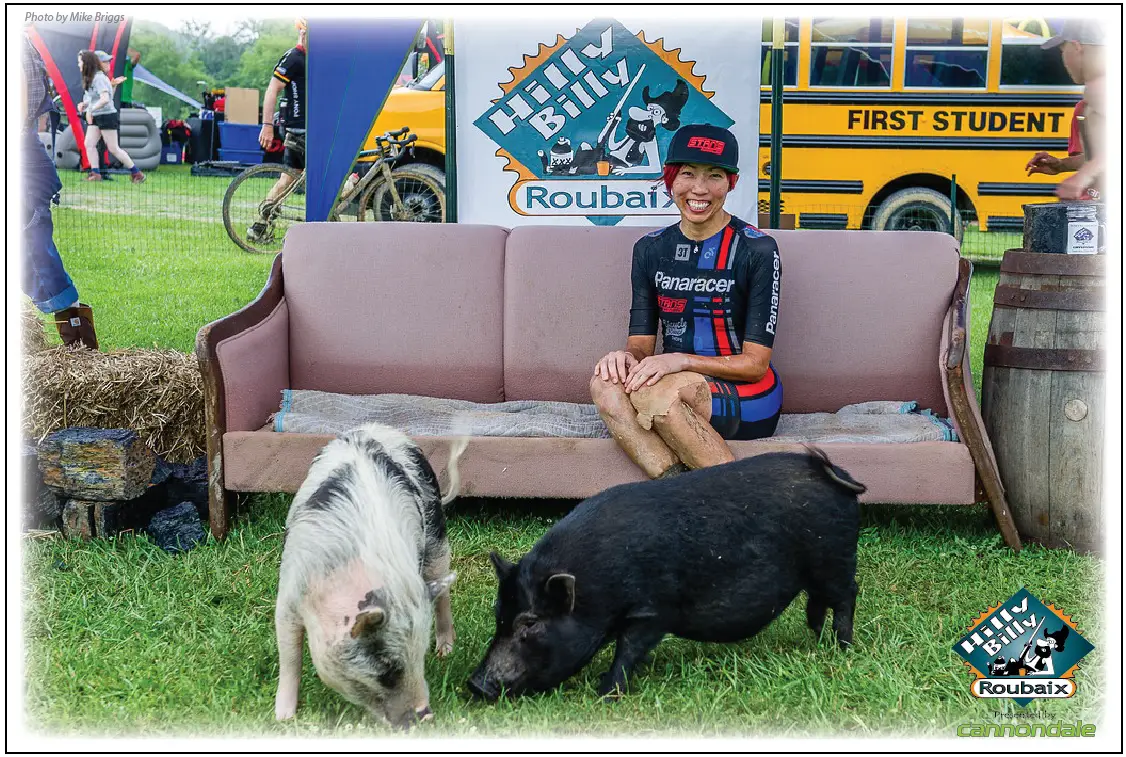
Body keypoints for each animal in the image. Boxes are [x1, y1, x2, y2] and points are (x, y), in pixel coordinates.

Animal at [273, 425, 466, 725]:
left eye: (419, 658)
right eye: (387, 672)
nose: (426, 715)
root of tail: (377, 427)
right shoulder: (289, 594)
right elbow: (289, 658)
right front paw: (282, 718)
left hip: (437, 537)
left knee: (442, 592)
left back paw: (446, 650)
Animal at [466, 446, 860, 702]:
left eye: (530, 624)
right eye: (499, 616)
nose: (475, 684)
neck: (595, 588)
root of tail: (835, 474)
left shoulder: (652, 610)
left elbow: (628, 650)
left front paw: (604, 693)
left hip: (833, 558)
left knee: (848, 595)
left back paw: (841, 647)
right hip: (817, 569)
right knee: (817, 602)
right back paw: (817, 637)